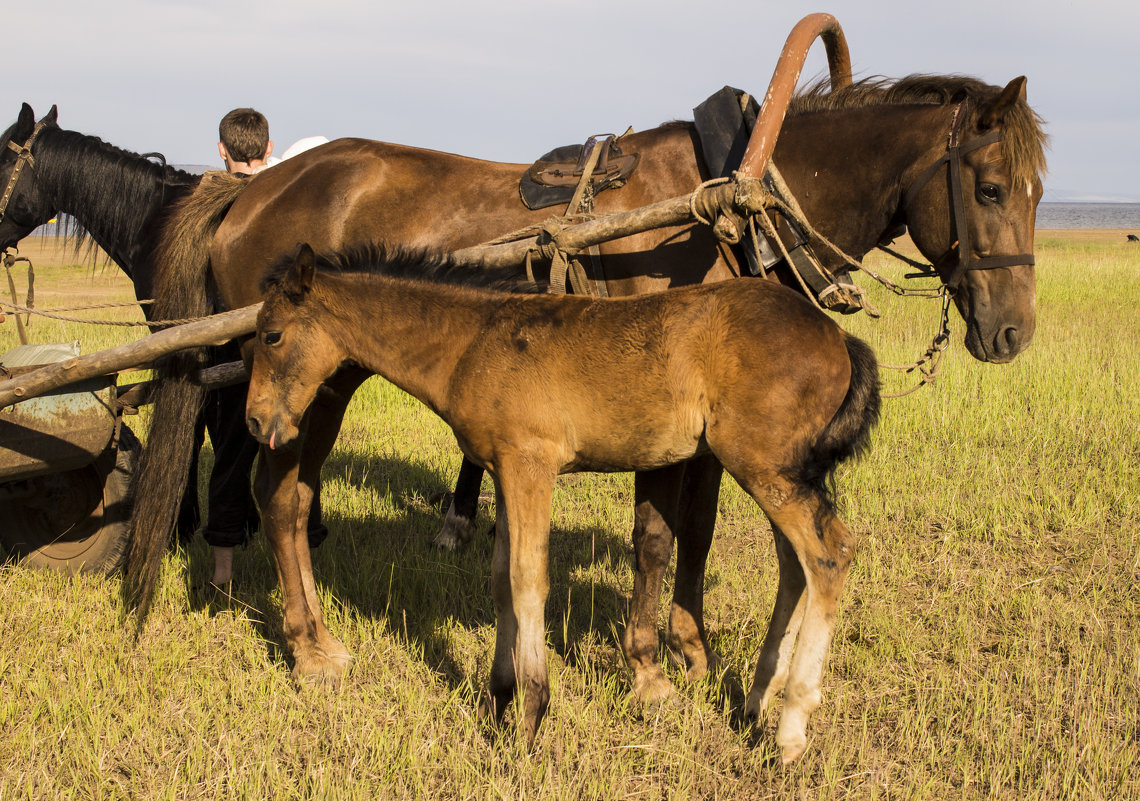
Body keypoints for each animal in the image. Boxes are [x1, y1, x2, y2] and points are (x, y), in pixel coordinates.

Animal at [124, 75, 1044, 706]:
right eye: (991, 188)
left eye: (1039, 192)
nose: (1012, 334)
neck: (720, 203)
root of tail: (247, 187)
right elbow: (655, 538)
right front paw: (649, 665)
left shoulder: (705, 433)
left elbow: (695, 534)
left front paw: (690, 651)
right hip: (308, 388)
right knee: (281, 497)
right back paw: (312, 648)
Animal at [242, 246, 880, 765]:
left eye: (271, 335)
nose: (254, 421)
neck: (472, 343)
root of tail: (837, 338)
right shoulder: (504, 471)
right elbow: (500, 579)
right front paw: (495, 702)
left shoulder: (531, 466)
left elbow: (528, 581)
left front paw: (530, 715)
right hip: (779, 471)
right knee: (795, 566)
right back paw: (754, 702)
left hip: (762, 466)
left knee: (830, 554)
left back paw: (791, 729)